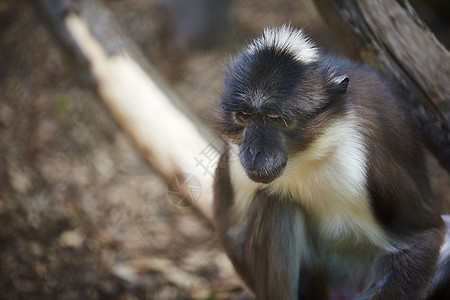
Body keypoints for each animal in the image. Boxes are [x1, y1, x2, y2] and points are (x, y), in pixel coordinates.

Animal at [213, 24, 450, 298]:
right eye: (245, 116)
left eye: (277, 119)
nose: (254, 152)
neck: (302, 159)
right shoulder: (234, 161)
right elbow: (231, 237)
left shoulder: (364, 163)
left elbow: (424, 236)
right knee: (276, 202)